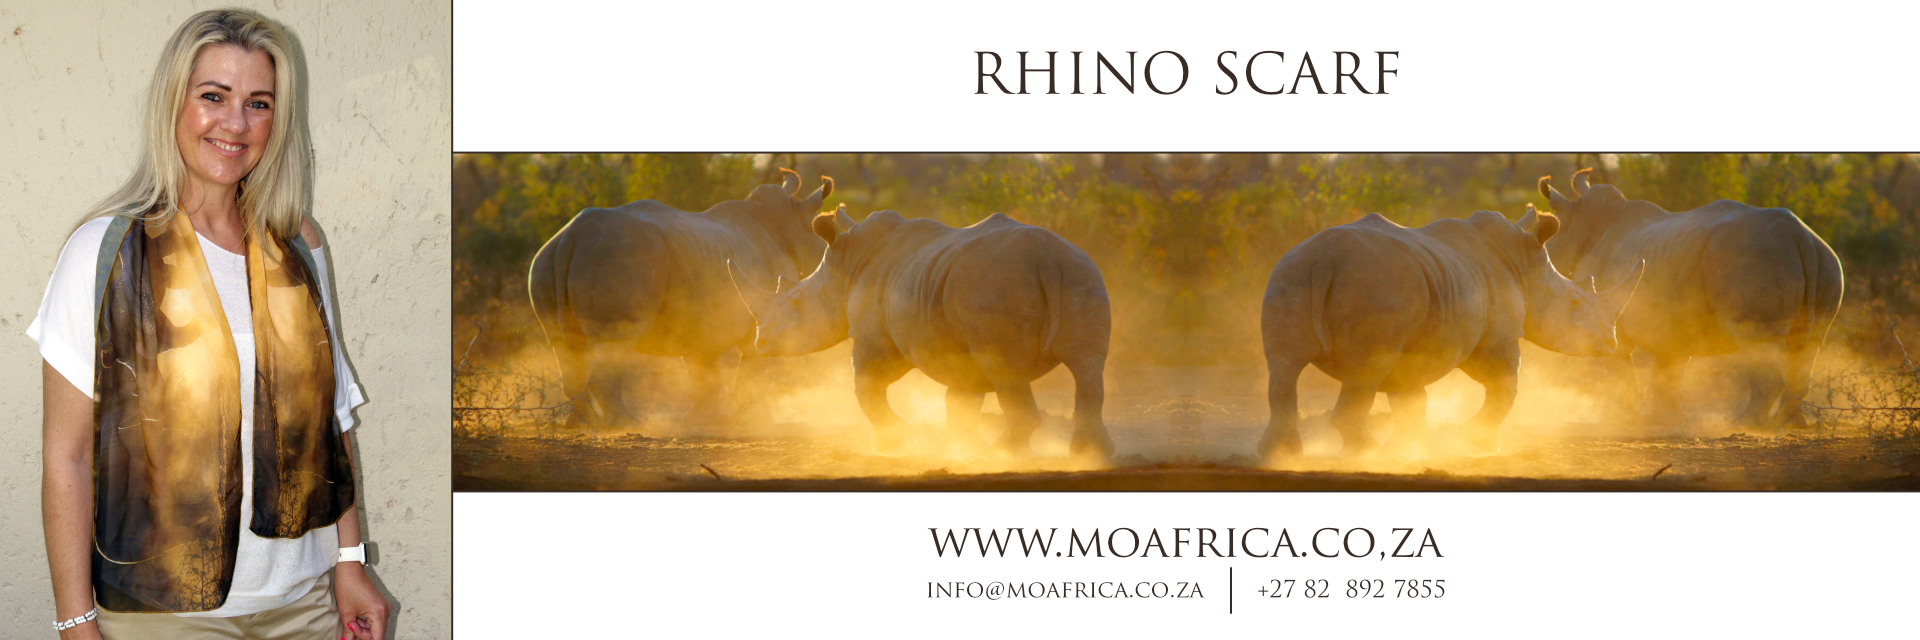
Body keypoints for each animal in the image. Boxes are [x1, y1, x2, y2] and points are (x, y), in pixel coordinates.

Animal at [528, 169, 833, 428]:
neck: (788, 224)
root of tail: (572, 236)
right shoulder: (762, 315)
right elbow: (751, 368)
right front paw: (750, 418)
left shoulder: (697, 319)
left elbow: (702, 370)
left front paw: (702, 419)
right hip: (620, 257)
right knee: (616, 342)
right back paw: (627, 424)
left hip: (545, 261)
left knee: (563, 345)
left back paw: (580, 424)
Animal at [730, 207, 1114, 457]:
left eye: (796, 303)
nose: (761, 342)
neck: (846, 266)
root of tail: (1047, 259)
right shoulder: (951, 343)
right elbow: (961, 396)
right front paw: (963, 446)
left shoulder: (877, 338)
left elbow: (866, 385)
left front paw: (892, 443)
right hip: (1082, 273)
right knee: (1087, 364)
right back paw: (1091, 454)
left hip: (998, 287)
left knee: (1007, 372)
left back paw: (1007, 451)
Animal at [1259, 209, 1644, 458]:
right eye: (1576, 303)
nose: (1610, 343)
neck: (1524, 266)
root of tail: (1325, 258)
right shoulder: (1494, 339)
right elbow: (1506, 385)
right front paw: (1479, 443)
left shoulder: (1419, 345)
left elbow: (1411, 397)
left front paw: (1408, 447)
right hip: (1374, 287)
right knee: (1364, 372)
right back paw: (1364, 451)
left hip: (1290, 273)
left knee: (1284, 364)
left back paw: (1282, 454)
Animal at [1539, 169, 1844, 427]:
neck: (1583, 224)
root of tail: (1799, 236)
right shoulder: (1674, 319)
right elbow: (1669, 370)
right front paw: (1669, 419)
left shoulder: (1610, 315)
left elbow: (1621, 369)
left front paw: (1622, 418)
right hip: (1826, 261)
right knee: (1808, 344)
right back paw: (1791, 424)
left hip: (1751, 257)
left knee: (1755, 341)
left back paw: (1745, 425)